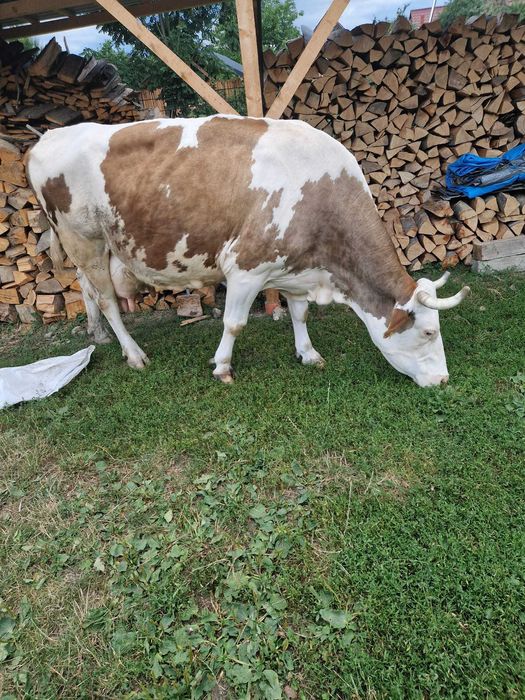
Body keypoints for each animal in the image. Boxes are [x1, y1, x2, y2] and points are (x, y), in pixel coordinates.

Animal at [27, 116, 470, 387]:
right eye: (429, 332)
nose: (444, 380)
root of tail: (49, 136)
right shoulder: (245, 267)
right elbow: (235, 323)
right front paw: (222, 366)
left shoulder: (295, 268)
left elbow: (299, 314)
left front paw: (308, 353)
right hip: (82, 238)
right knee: (106, 298)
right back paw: (133, 353)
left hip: (95, 245)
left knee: (87, 290)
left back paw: (98, 336)